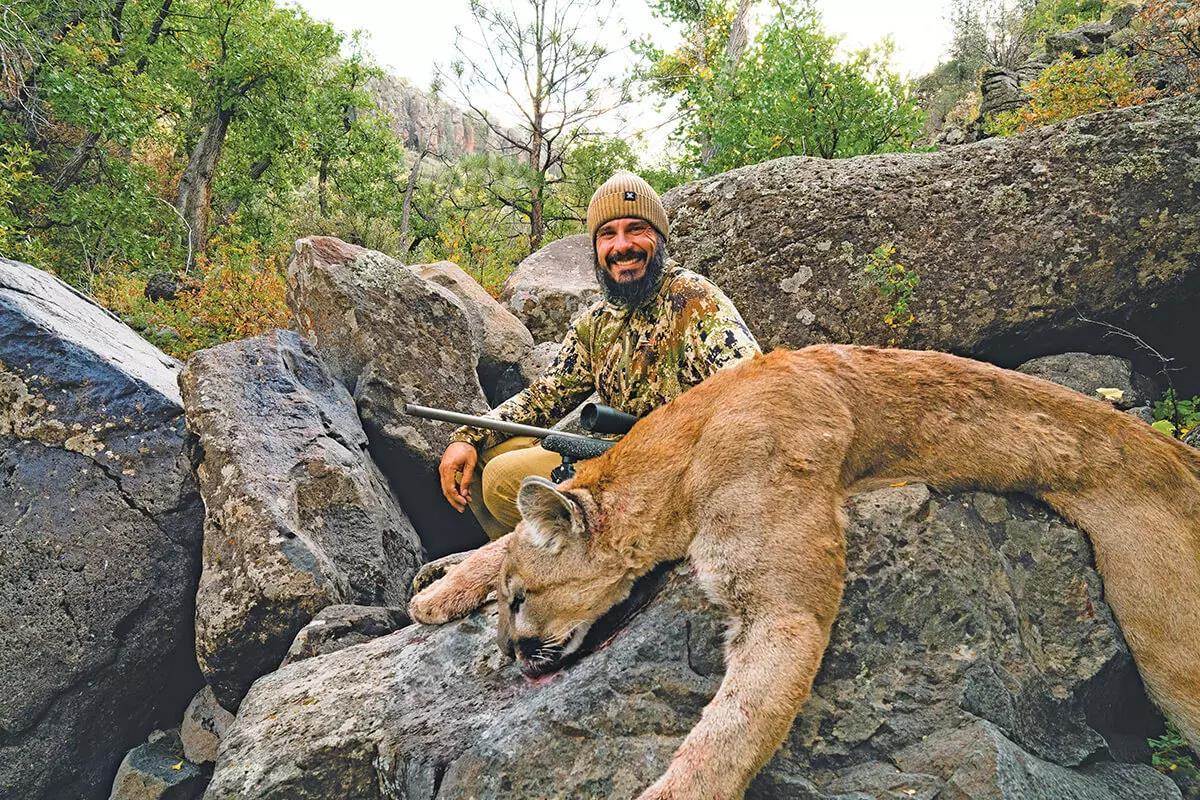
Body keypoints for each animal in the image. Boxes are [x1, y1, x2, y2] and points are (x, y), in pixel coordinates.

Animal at [409, 345, 1200, 800]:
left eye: (521, 602)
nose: (512, 656)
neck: (685, 450)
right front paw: (438, 588)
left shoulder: (783, 606)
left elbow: (730, 730)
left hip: (1166, 638)